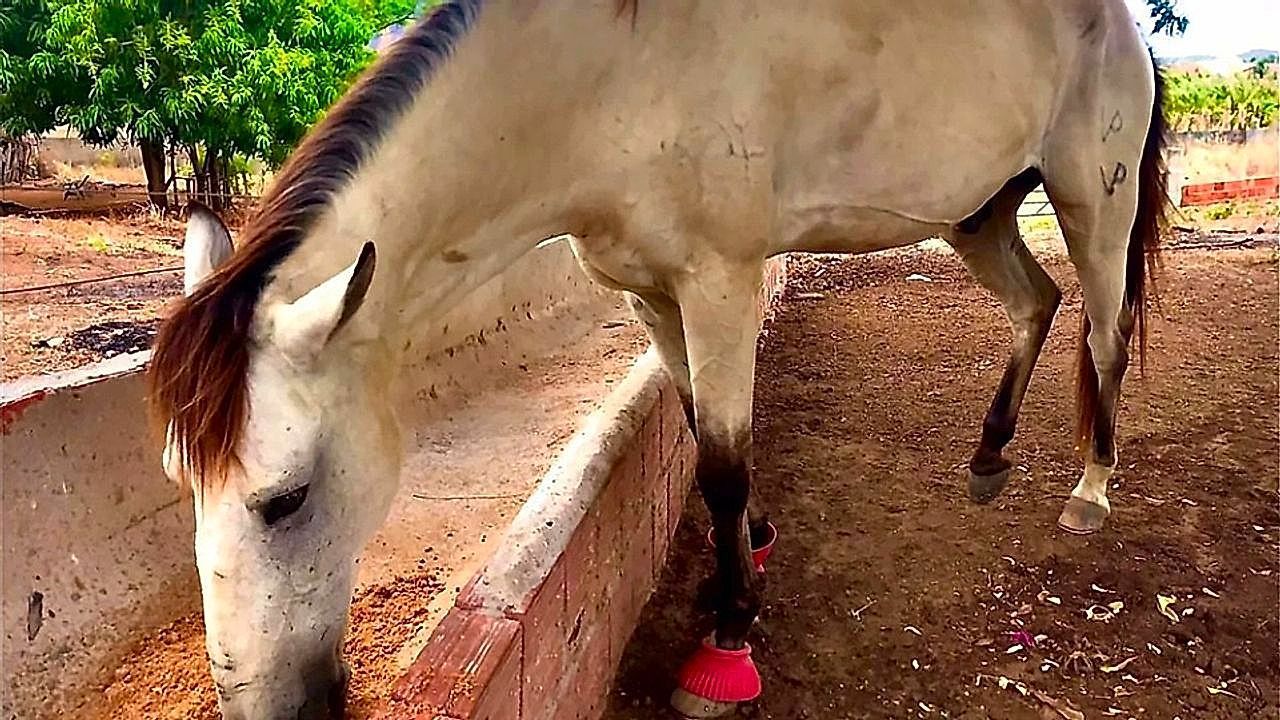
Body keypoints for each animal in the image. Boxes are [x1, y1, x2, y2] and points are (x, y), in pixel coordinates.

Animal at [148, 0, 1168, 716]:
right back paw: (989, 457)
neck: (611, 77)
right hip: (979, 212)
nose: (268, 708)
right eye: (182, 483)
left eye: (285, 500)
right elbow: (696, 432)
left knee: (1105, 335)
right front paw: (752, 548)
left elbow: (721, 463)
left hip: (1094, 201)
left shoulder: (721, 284)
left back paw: (1090, 493)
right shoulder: (651, 295)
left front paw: (727, 641)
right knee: (1037, 305)